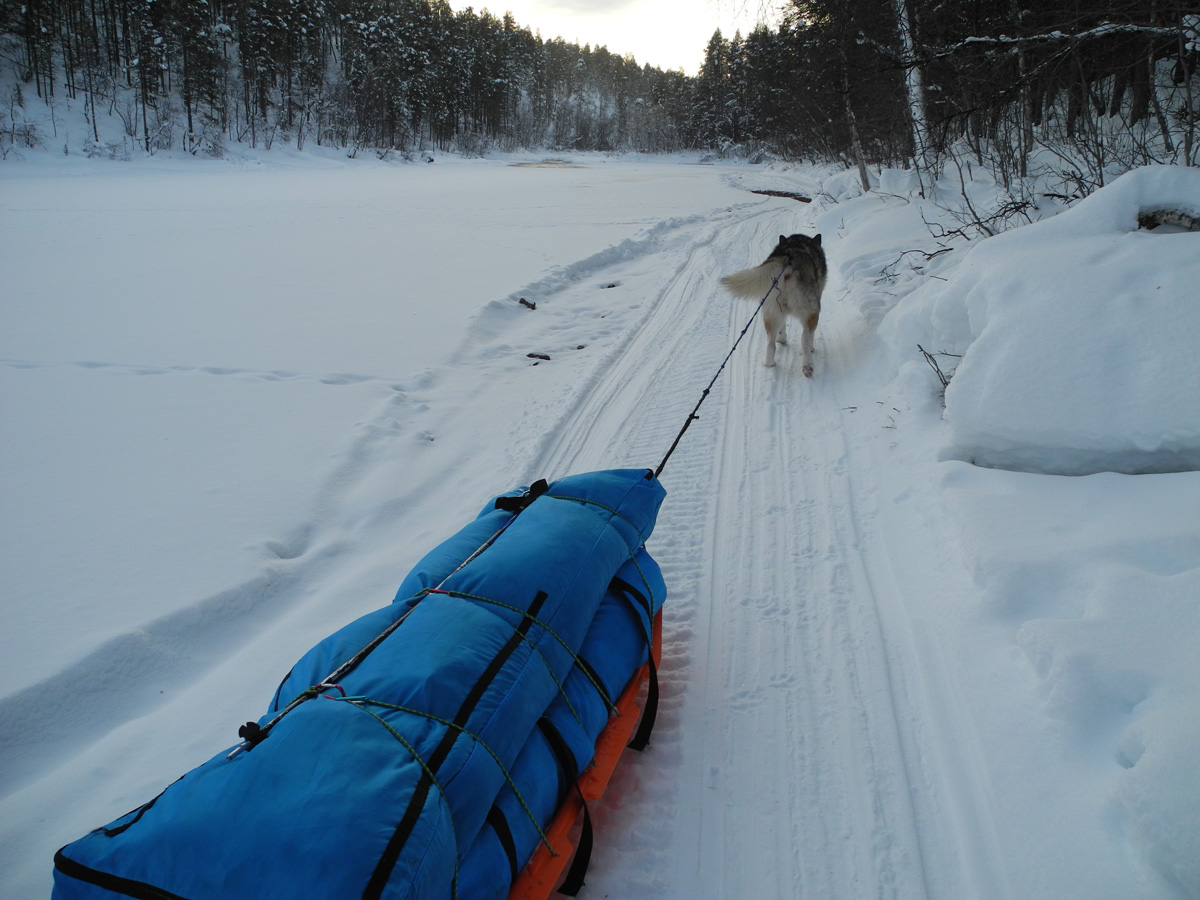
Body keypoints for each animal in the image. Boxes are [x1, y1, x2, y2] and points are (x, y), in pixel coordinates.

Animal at [720, 236, 825, 376]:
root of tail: (788, 260)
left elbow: (782, 326)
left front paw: (781, 339)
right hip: (810, 311)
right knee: (805, 340)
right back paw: (807, 366)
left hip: (770, 312)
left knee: (770, 343)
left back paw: (769, 363)